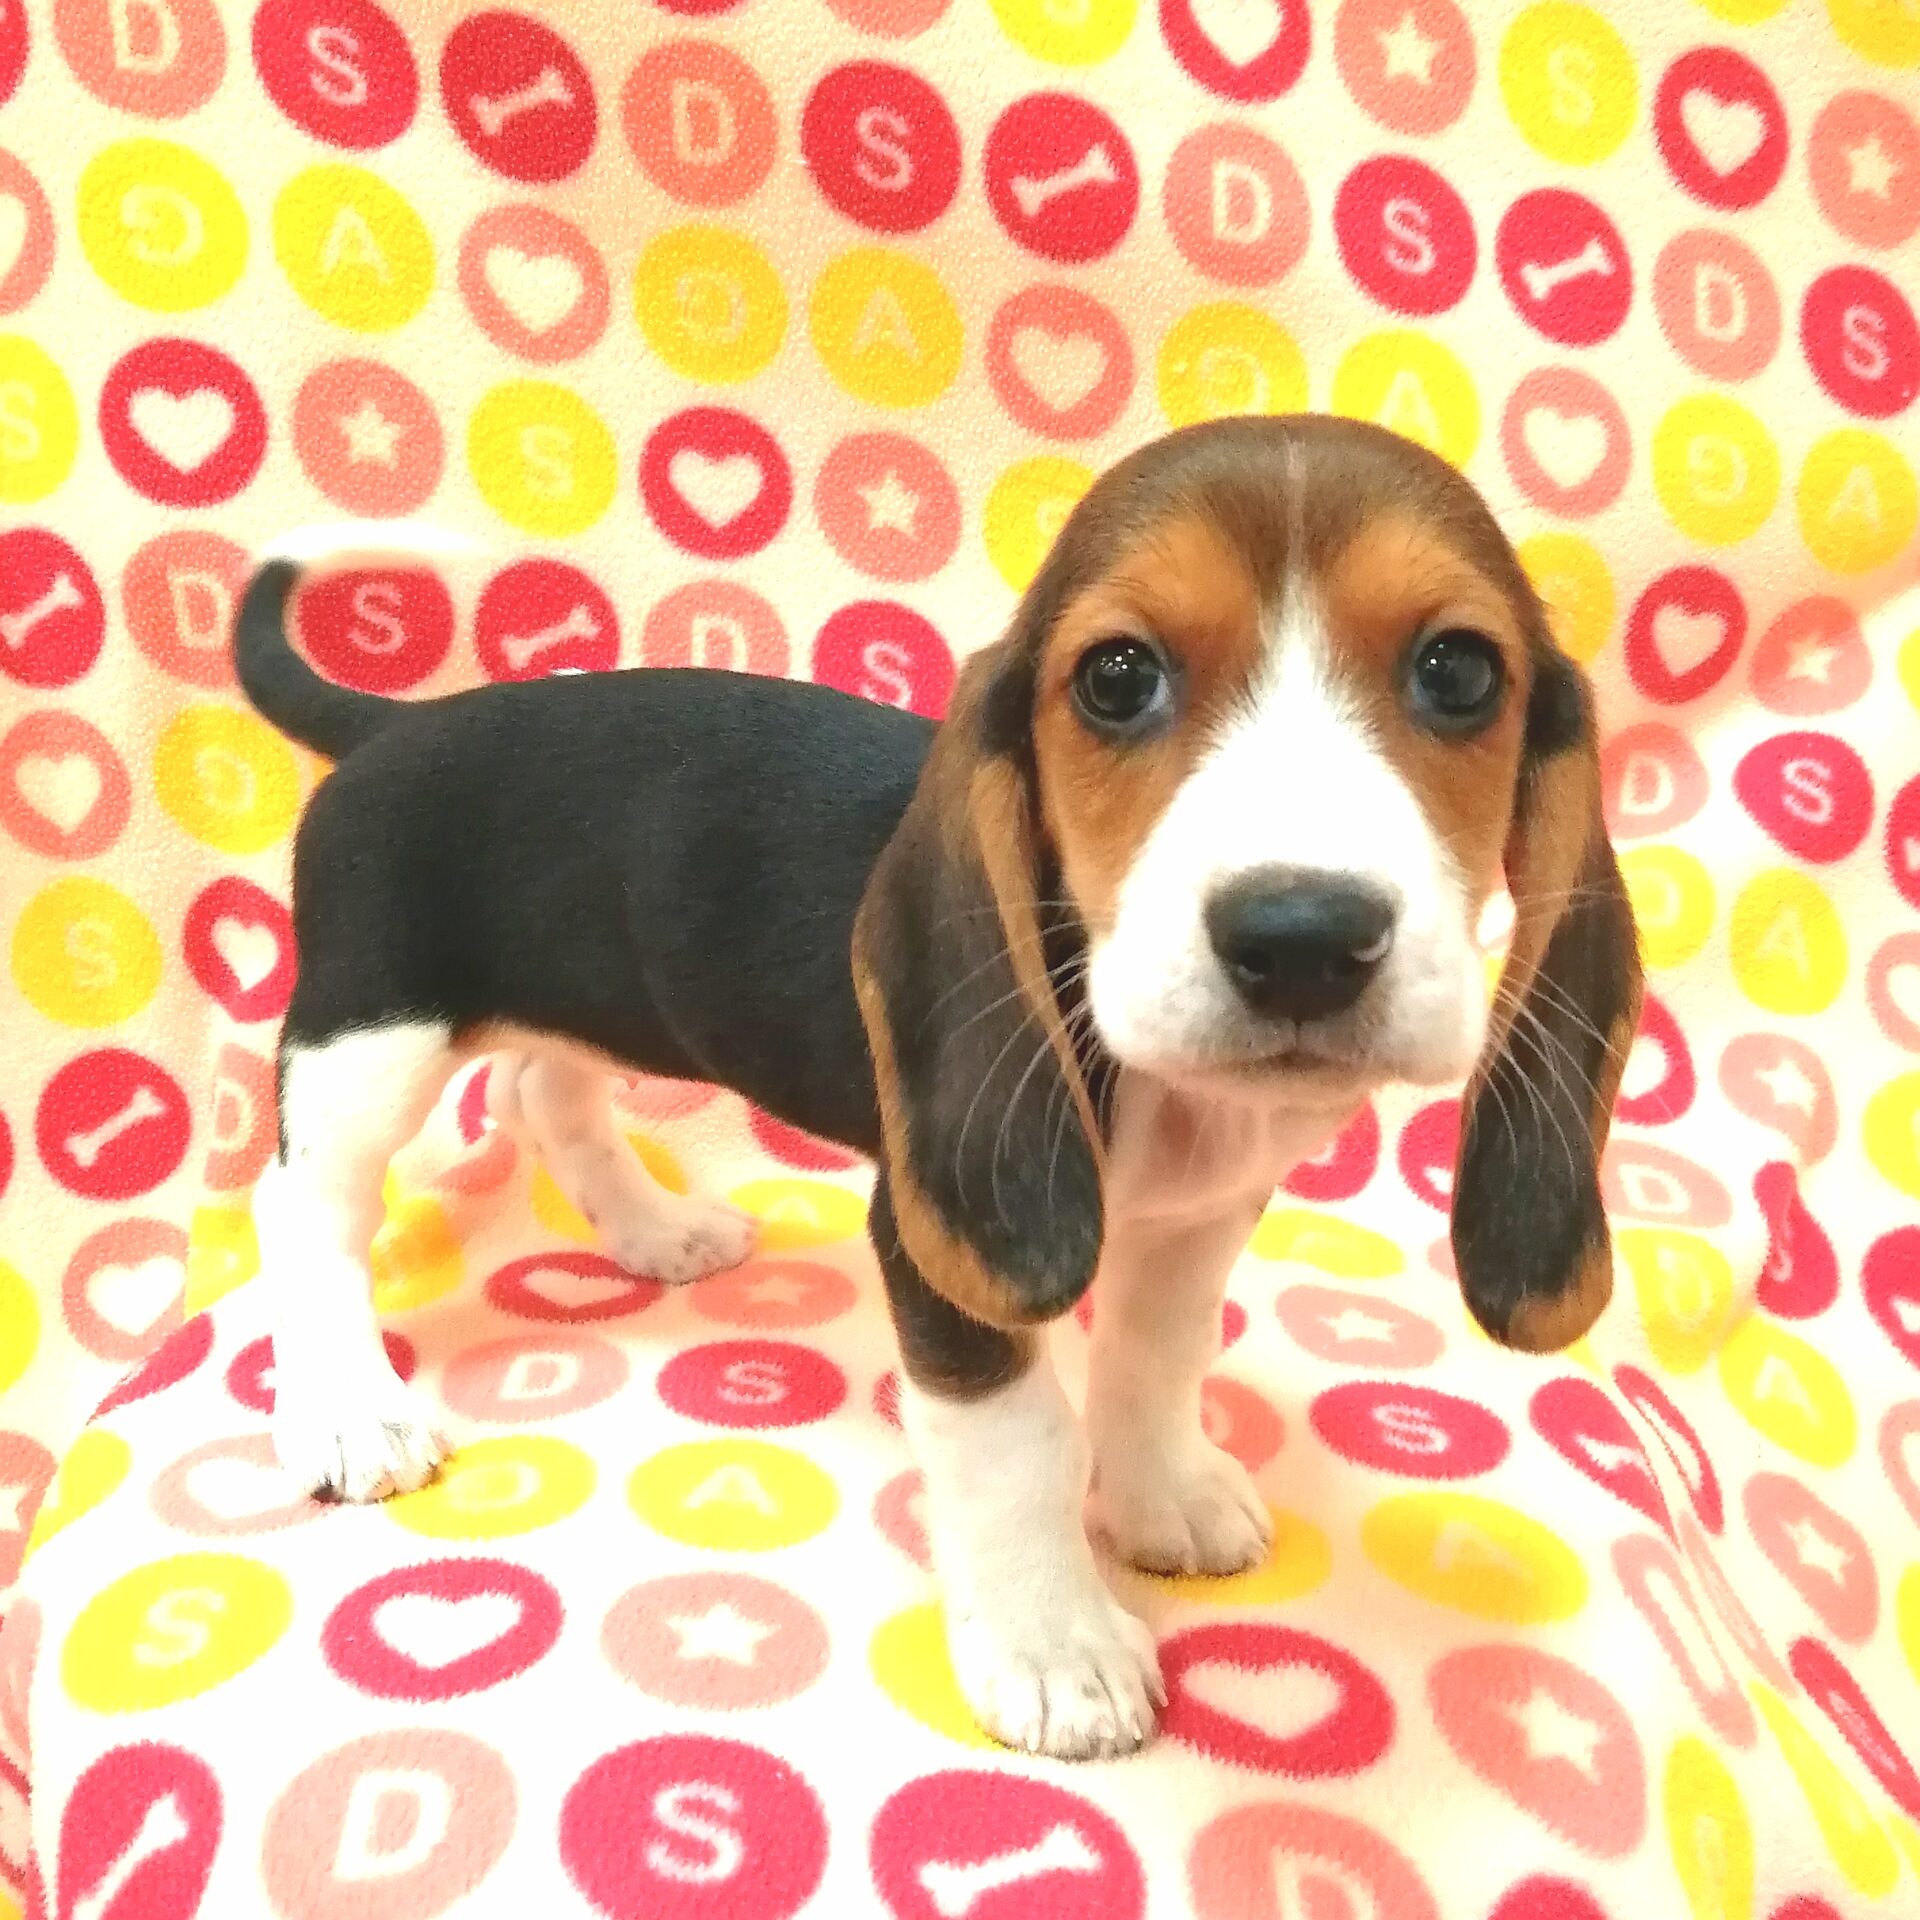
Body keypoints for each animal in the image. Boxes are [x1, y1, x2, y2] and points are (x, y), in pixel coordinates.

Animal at [236, 414, 1642, 1759]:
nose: (1301, 935)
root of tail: (396, 726)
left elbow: (1154, 1356)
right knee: (303, 1211)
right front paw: (1058, 1651)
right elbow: (1020, 1444)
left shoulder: (1199, 1218)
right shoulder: (936, 1237)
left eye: (1459, 672)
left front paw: (1163, 1494)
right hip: (370, 1038)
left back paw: (656, 1231)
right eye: (1117, 677)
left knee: (543, 1093)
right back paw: (350, 1410)